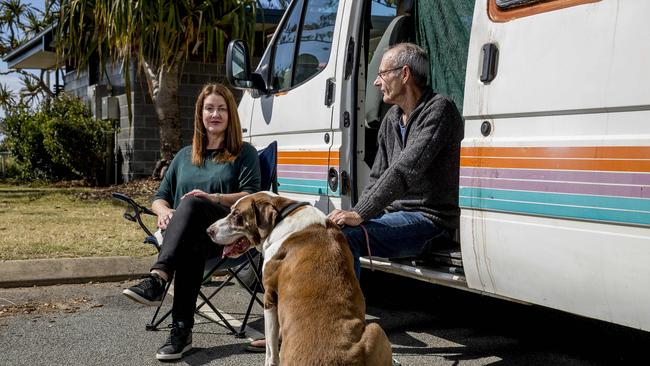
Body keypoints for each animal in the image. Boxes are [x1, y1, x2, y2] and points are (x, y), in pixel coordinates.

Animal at [205, 192, 392, 366]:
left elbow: (271, 349)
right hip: (376, 331)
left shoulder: (269, 299)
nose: (209, 230)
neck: (281, 216)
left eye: (236, 215)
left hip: (377, 328)